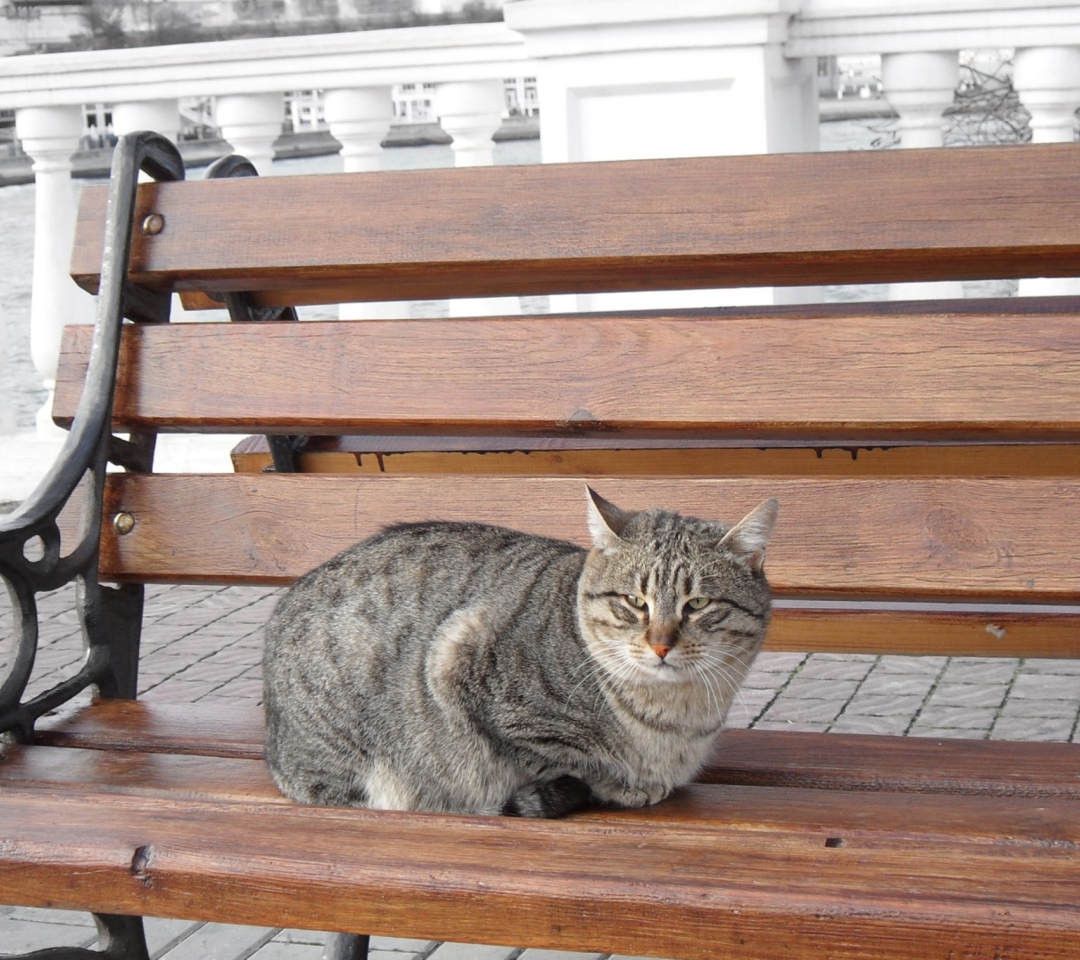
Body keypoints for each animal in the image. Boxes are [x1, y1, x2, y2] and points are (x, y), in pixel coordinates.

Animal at [265, 485, 781, 816]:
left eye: (698, 604)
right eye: (635, 602)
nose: (660, 645)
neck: (677, 715)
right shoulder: (461, 662)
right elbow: (568, 757)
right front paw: (623, 785)